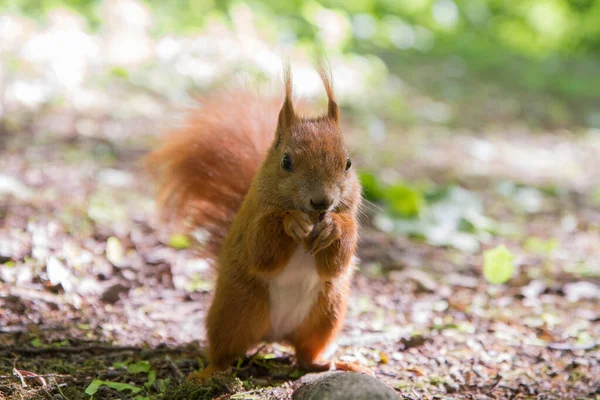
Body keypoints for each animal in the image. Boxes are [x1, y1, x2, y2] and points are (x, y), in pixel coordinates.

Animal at [147, 61, 364, 380]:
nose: (321, 202)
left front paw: (333, 227)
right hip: (236, 311)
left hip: (325, 314)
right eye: (286, 161)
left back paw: (330, 363)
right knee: (223, 351)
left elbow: (335, 264)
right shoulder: (254, 218)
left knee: (305, 356)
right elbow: (262, 251)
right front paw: (291, 222)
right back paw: (209, 372)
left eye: (348, 164)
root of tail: (274, 335)